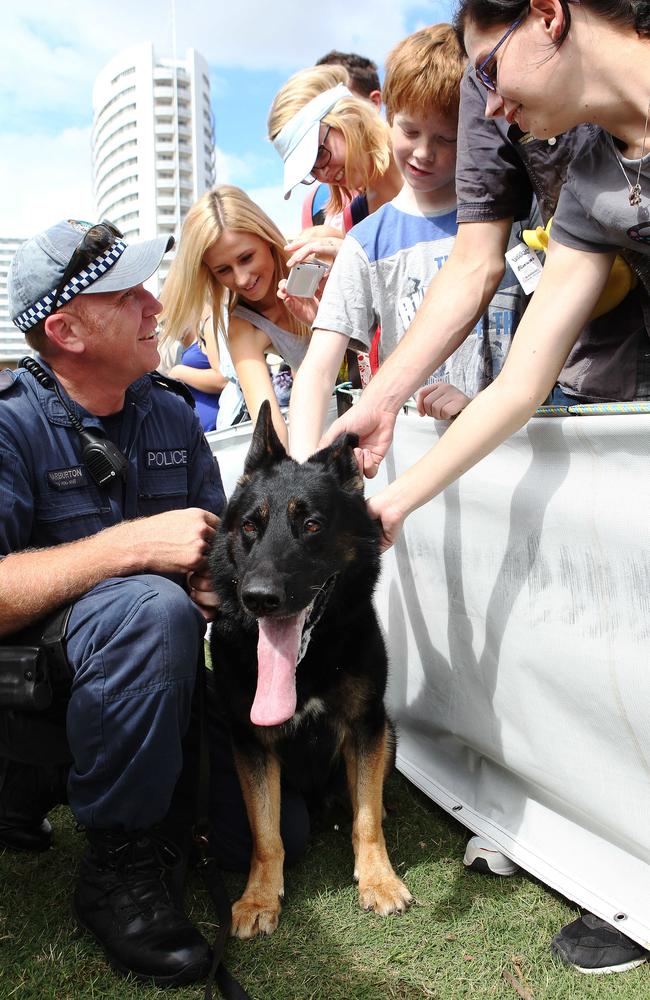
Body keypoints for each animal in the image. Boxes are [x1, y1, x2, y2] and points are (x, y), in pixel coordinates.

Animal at [209, 400, 410, 936]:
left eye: (312, 525)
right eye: (250, 526)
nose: (258, 598)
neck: (309, 662)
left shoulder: (366, 726)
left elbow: (366, 819)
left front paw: (378, 879)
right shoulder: (250, 743)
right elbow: (266, 833)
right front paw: (259, 897)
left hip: (389, 732)